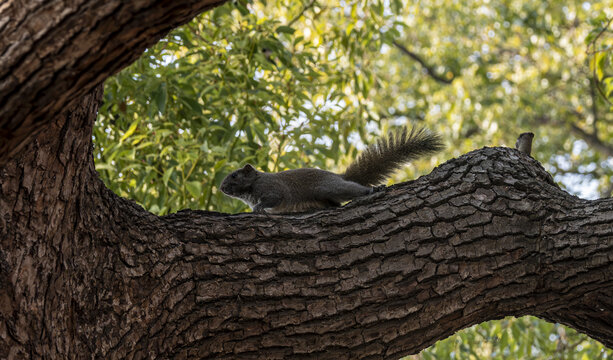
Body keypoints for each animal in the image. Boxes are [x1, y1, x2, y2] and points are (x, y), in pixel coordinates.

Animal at [220, 126, 444, 214]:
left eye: (234, 175)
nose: (221, 188)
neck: (252, 186)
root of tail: (338, 176)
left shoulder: (271, 188)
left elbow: (273, 199)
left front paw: (259, 208)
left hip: (328, 187)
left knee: (352, 189)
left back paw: (373, 190)